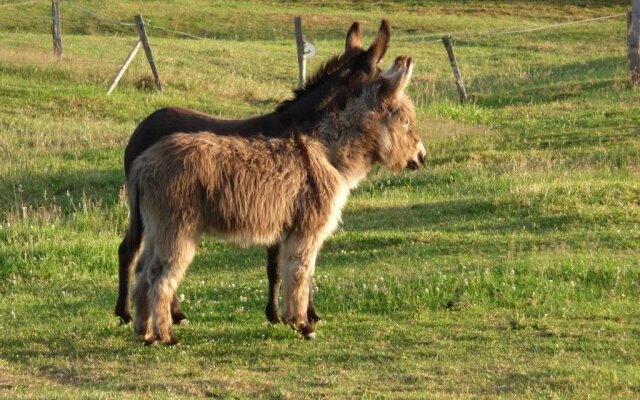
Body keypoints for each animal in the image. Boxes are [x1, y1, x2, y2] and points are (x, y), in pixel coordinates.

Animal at [127, 55, 422, 344]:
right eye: (406, 122)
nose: (422, 156)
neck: (329, 156)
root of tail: (142, 164)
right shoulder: (306, 231)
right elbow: (300, 274)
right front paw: (302, 324)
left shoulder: (291, 233)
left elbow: (293, 272)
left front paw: (293, 320)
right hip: (177, 230)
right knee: (159, 278)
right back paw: (167, 336)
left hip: (157, 230)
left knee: (142, 275)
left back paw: (145, 332)